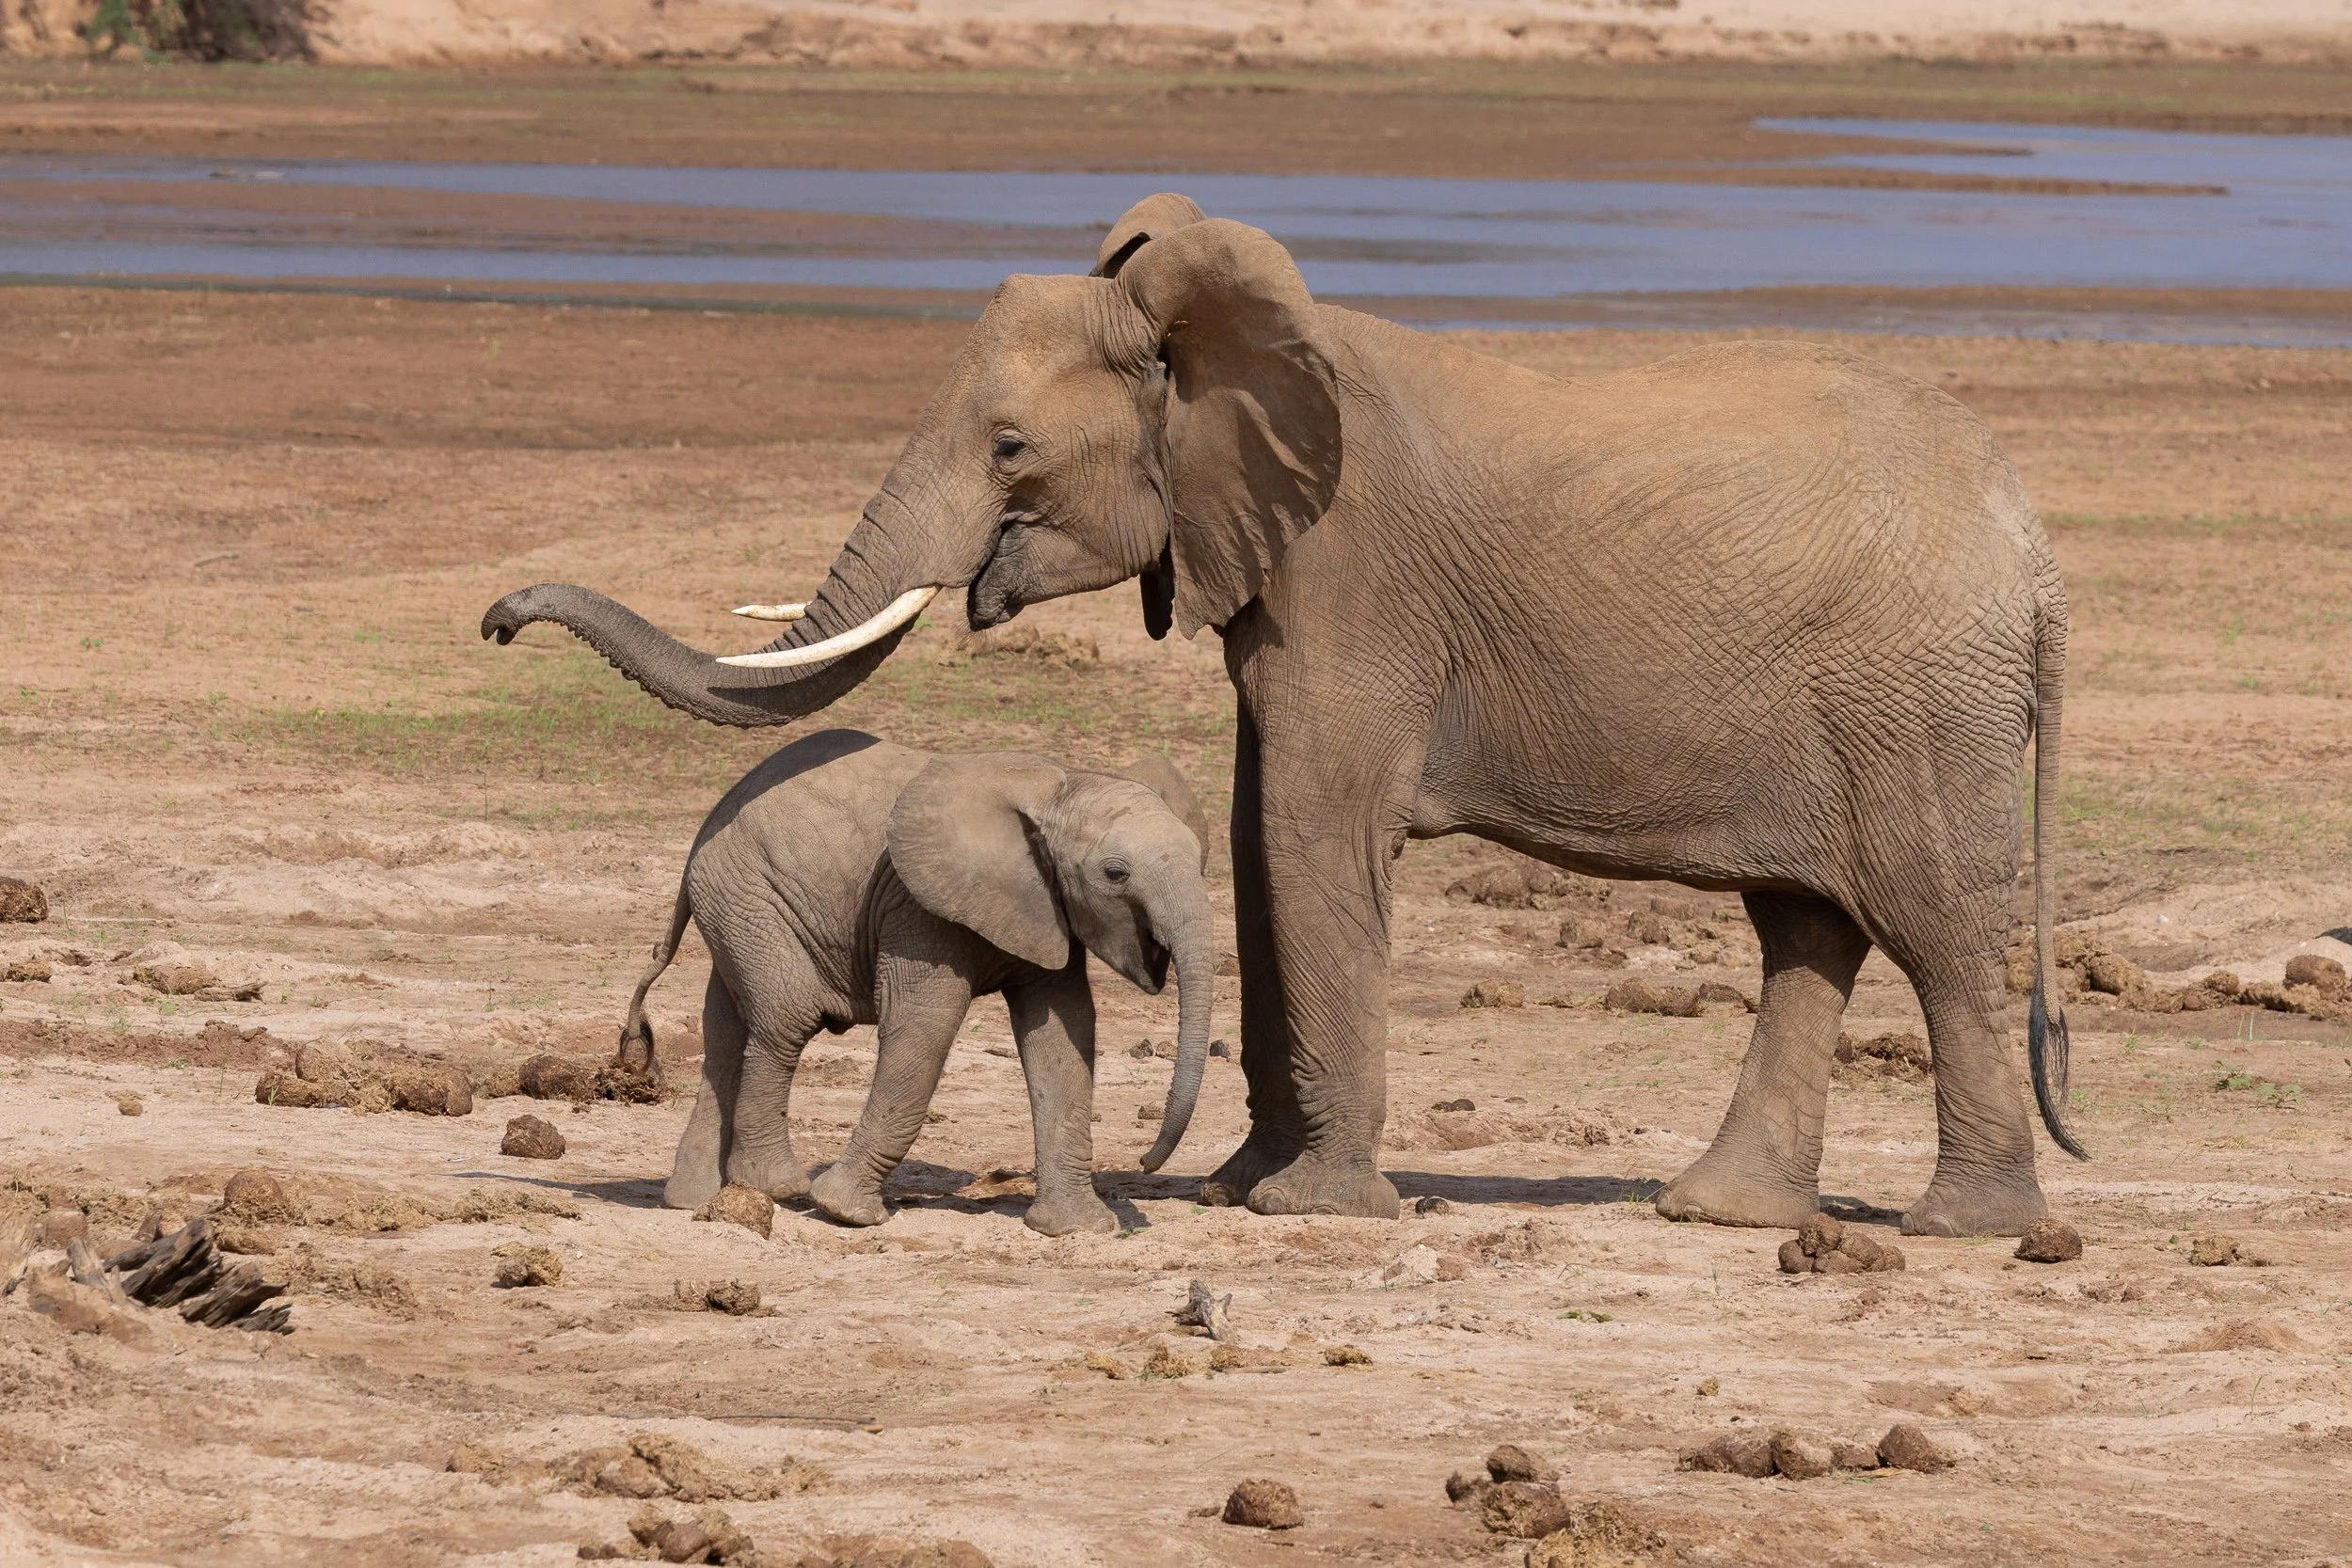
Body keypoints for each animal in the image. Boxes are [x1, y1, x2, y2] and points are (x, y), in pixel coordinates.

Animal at [614, 728, 1215, 1237]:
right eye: (1115, 874)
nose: (1144, 1161)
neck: (1064, 784)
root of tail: (705, 827)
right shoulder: (918, 906)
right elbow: (925, 1025)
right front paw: (845, 1212)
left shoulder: (1047, 908)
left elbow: (1063, 1038)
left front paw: (1077, 1230)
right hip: (752, 896)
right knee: (786, 1021)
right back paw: (778, 1186)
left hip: (735, 908)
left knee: (724, 1036)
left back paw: (692, 1201)